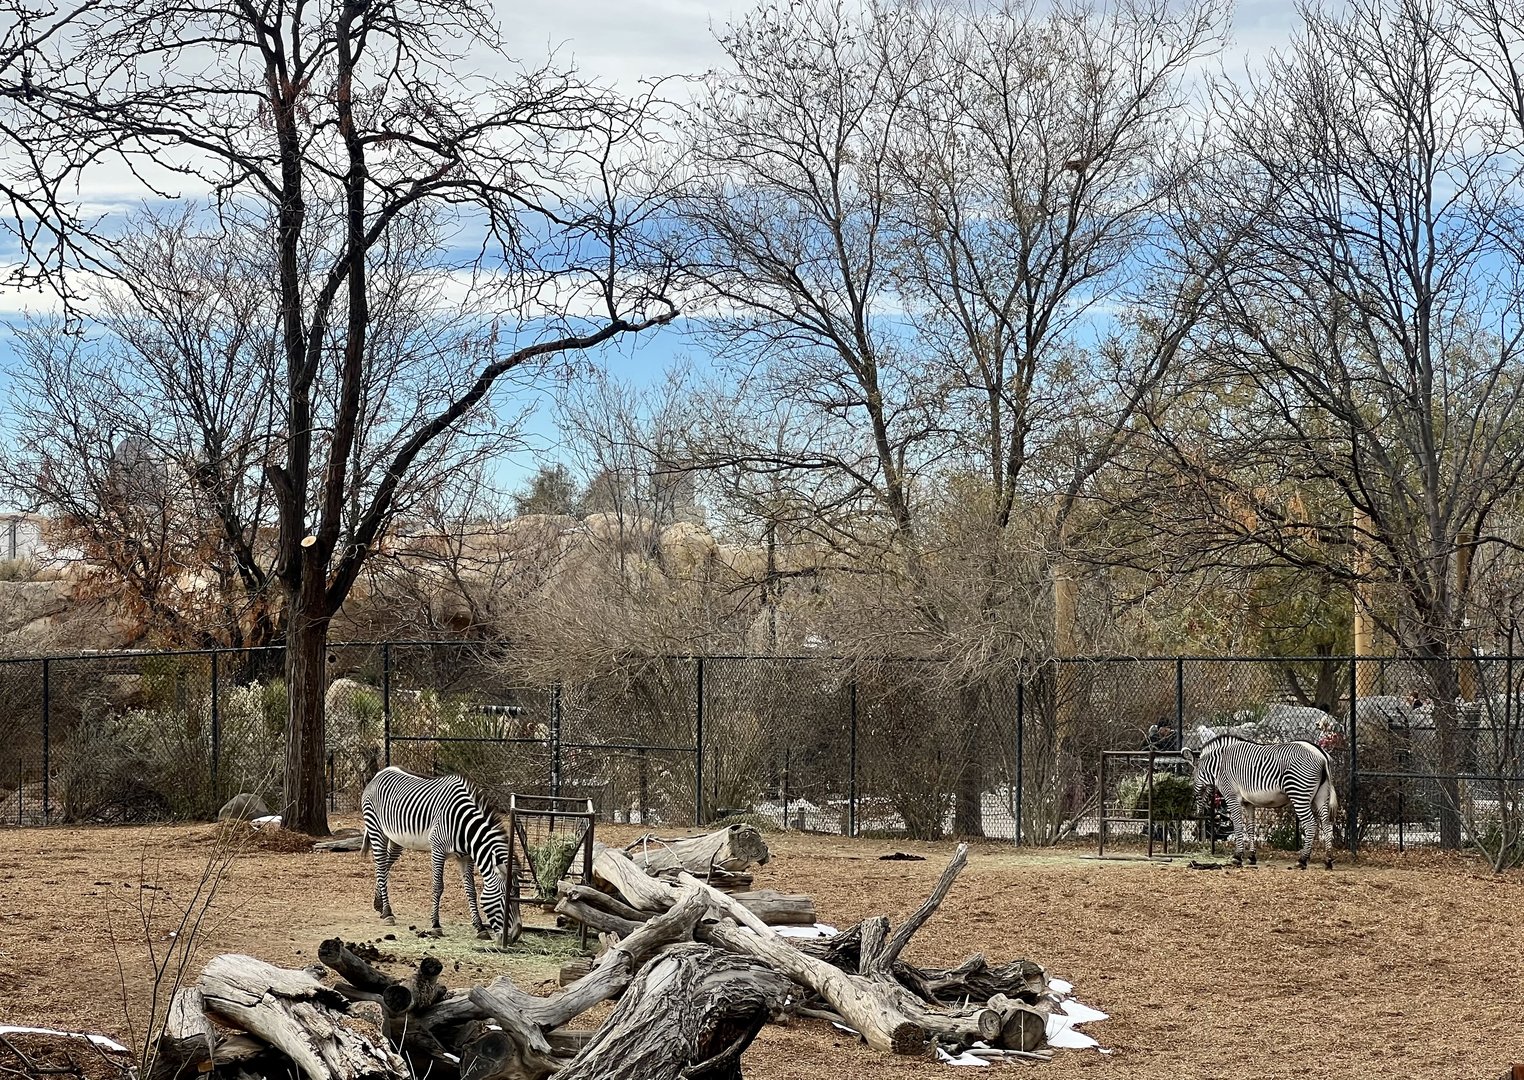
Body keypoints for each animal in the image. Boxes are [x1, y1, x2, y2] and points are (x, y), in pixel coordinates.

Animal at [360, 767, 514, 940]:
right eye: (503, 899)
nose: (514, 935)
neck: (463, 825)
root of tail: (380, 772)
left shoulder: (466, 857)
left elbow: (471, 890)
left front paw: (480, 927)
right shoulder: (438, 850)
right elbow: (438, 887)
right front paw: (436, 925)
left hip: (396, 839)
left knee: (384, 866)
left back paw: (379, 904)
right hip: (376, 829)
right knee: (380, 865)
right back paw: (387, 913)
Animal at [1181, 735, 1339, 870]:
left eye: (1192, 777)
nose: (1196, 812)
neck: (1219, 764)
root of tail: (1321, 754)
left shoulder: (1232, 796)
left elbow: (1238, 825)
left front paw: (1237, 857)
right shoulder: (1248, 803)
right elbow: (1250, 828)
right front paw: (1251, 857)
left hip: (1299, 793)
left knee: (1311, 825)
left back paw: (1302, 860)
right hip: (1321, 795)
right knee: (1327, 824)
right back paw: (1328, 860)